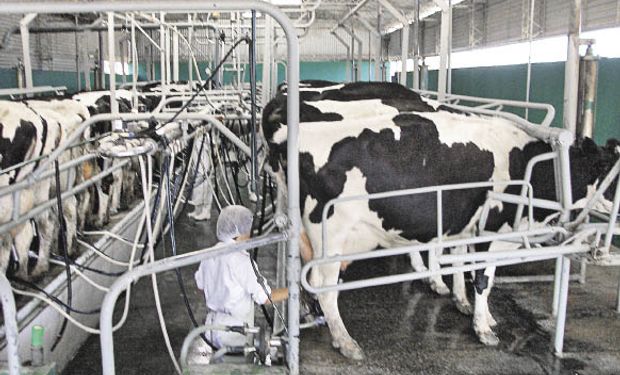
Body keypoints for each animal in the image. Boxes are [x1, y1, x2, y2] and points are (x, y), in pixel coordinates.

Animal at [262, 83, 620, 362]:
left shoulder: (466, 225)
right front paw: (483, 328)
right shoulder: (488, 229)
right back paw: (345, 341)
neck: (530, 164)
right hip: (330, 237)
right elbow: (483, 278)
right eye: (610, 170)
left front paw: (468, 306)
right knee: (323, 287)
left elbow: (463, 263)